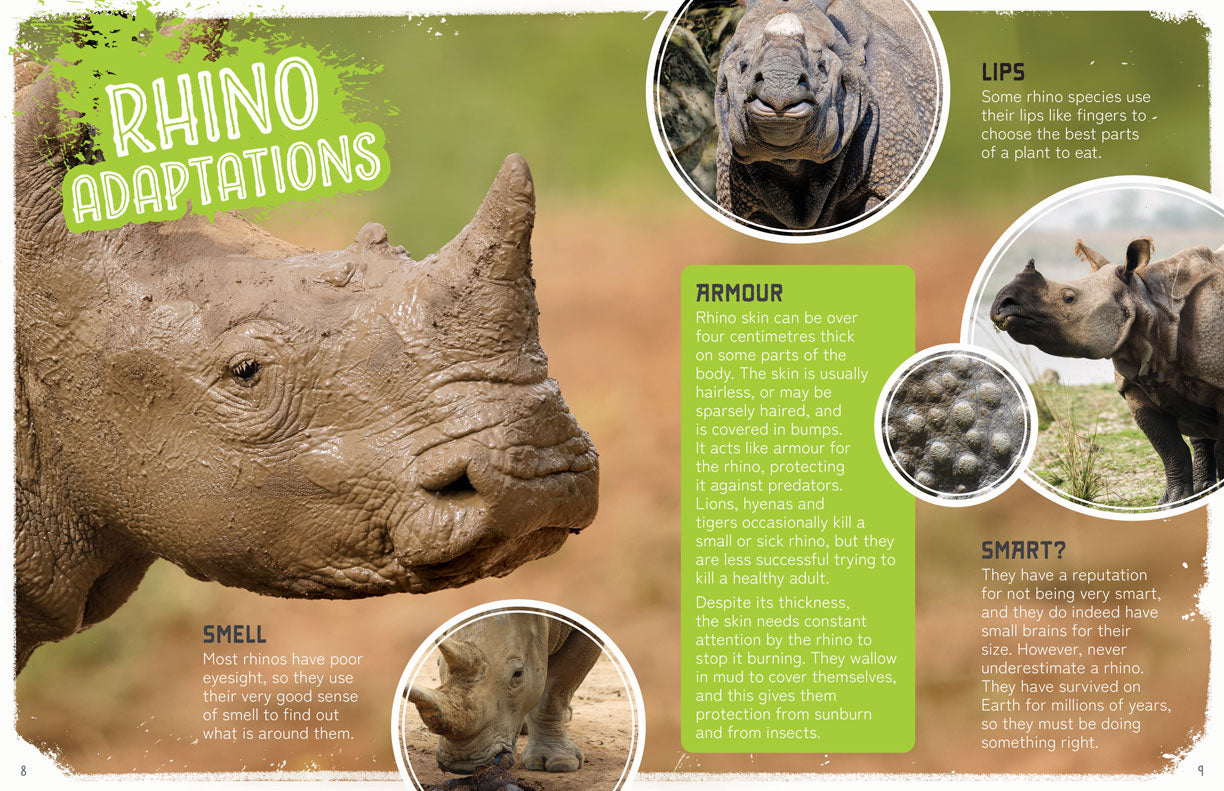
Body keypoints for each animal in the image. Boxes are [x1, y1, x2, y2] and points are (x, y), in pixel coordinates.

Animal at [990, 238, 1224, 505]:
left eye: (1068, 298)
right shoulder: (1134, 385)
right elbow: (1170, 449)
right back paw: (1203, 490)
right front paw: (1170, 503)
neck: (1148, 302)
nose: (1002, 305)